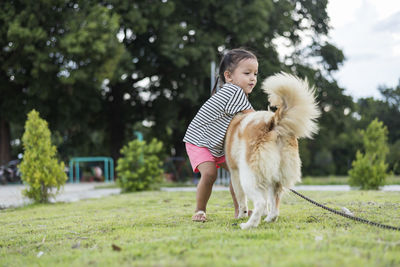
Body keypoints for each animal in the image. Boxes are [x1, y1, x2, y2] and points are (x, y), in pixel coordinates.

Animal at [227, 73, 320, 230]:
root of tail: (272, 121)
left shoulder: (235, 173)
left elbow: (240, 200)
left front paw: (240, 216)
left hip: (248, 176)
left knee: (260, 202)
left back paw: (248, 224)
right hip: (275, 176)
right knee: (274, 204)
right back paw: (269, 218)